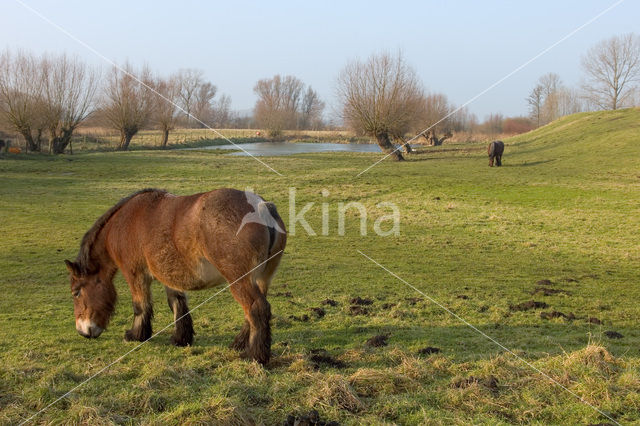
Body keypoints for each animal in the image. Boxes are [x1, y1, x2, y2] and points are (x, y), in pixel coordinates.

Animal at [63, 188, 288, 364]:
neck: (124, 223)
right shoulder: (169, 276)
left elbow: (140, 306)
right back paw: (239, 344)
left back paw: (254, 356)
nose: (82, 331)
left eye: (76, 292)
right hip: (260, 280)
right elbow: (177, 304)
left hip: (240, 281)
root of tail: (262, 206)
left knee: (256, 308)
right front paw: (181, 338)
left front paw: (136, 335)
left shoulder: (135, 275)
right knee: (253, 312)